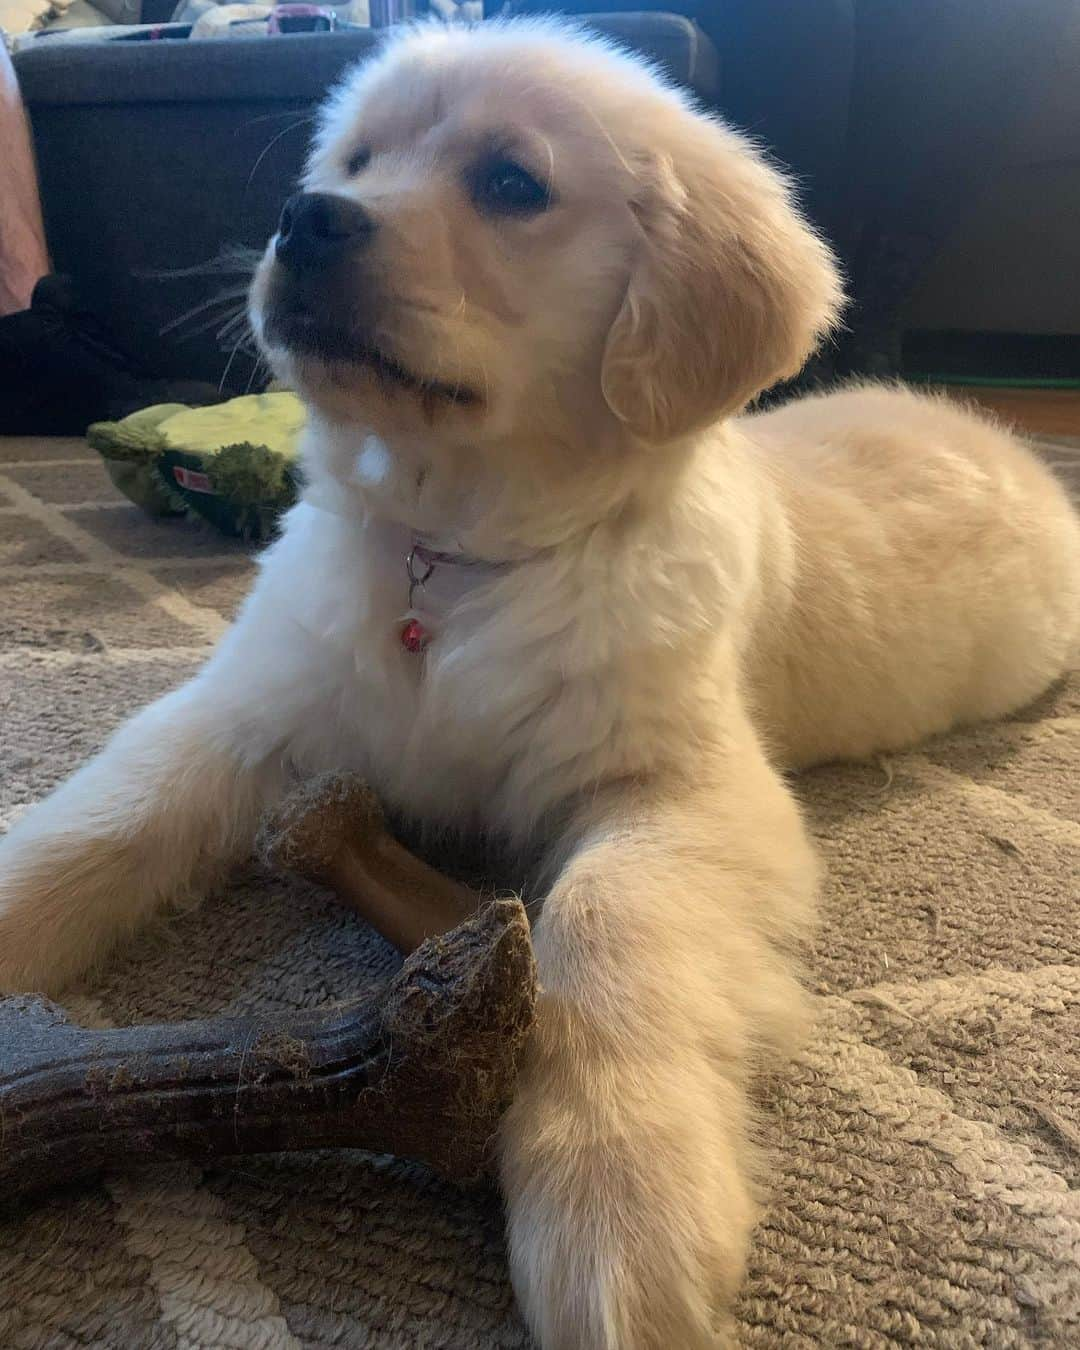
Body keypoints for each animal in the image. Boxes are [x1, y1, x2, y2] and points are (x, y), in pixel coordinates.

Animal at [2, 21, 1080, 1350]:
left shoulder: (685, 790)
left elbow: (610, 920)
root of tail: (997, 434)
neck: (459, 555)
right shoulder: (252, 707)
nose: (306, 218)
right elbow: (107, 812)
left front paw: (617, 1195)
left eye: (512, 184)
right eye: (355, 161)